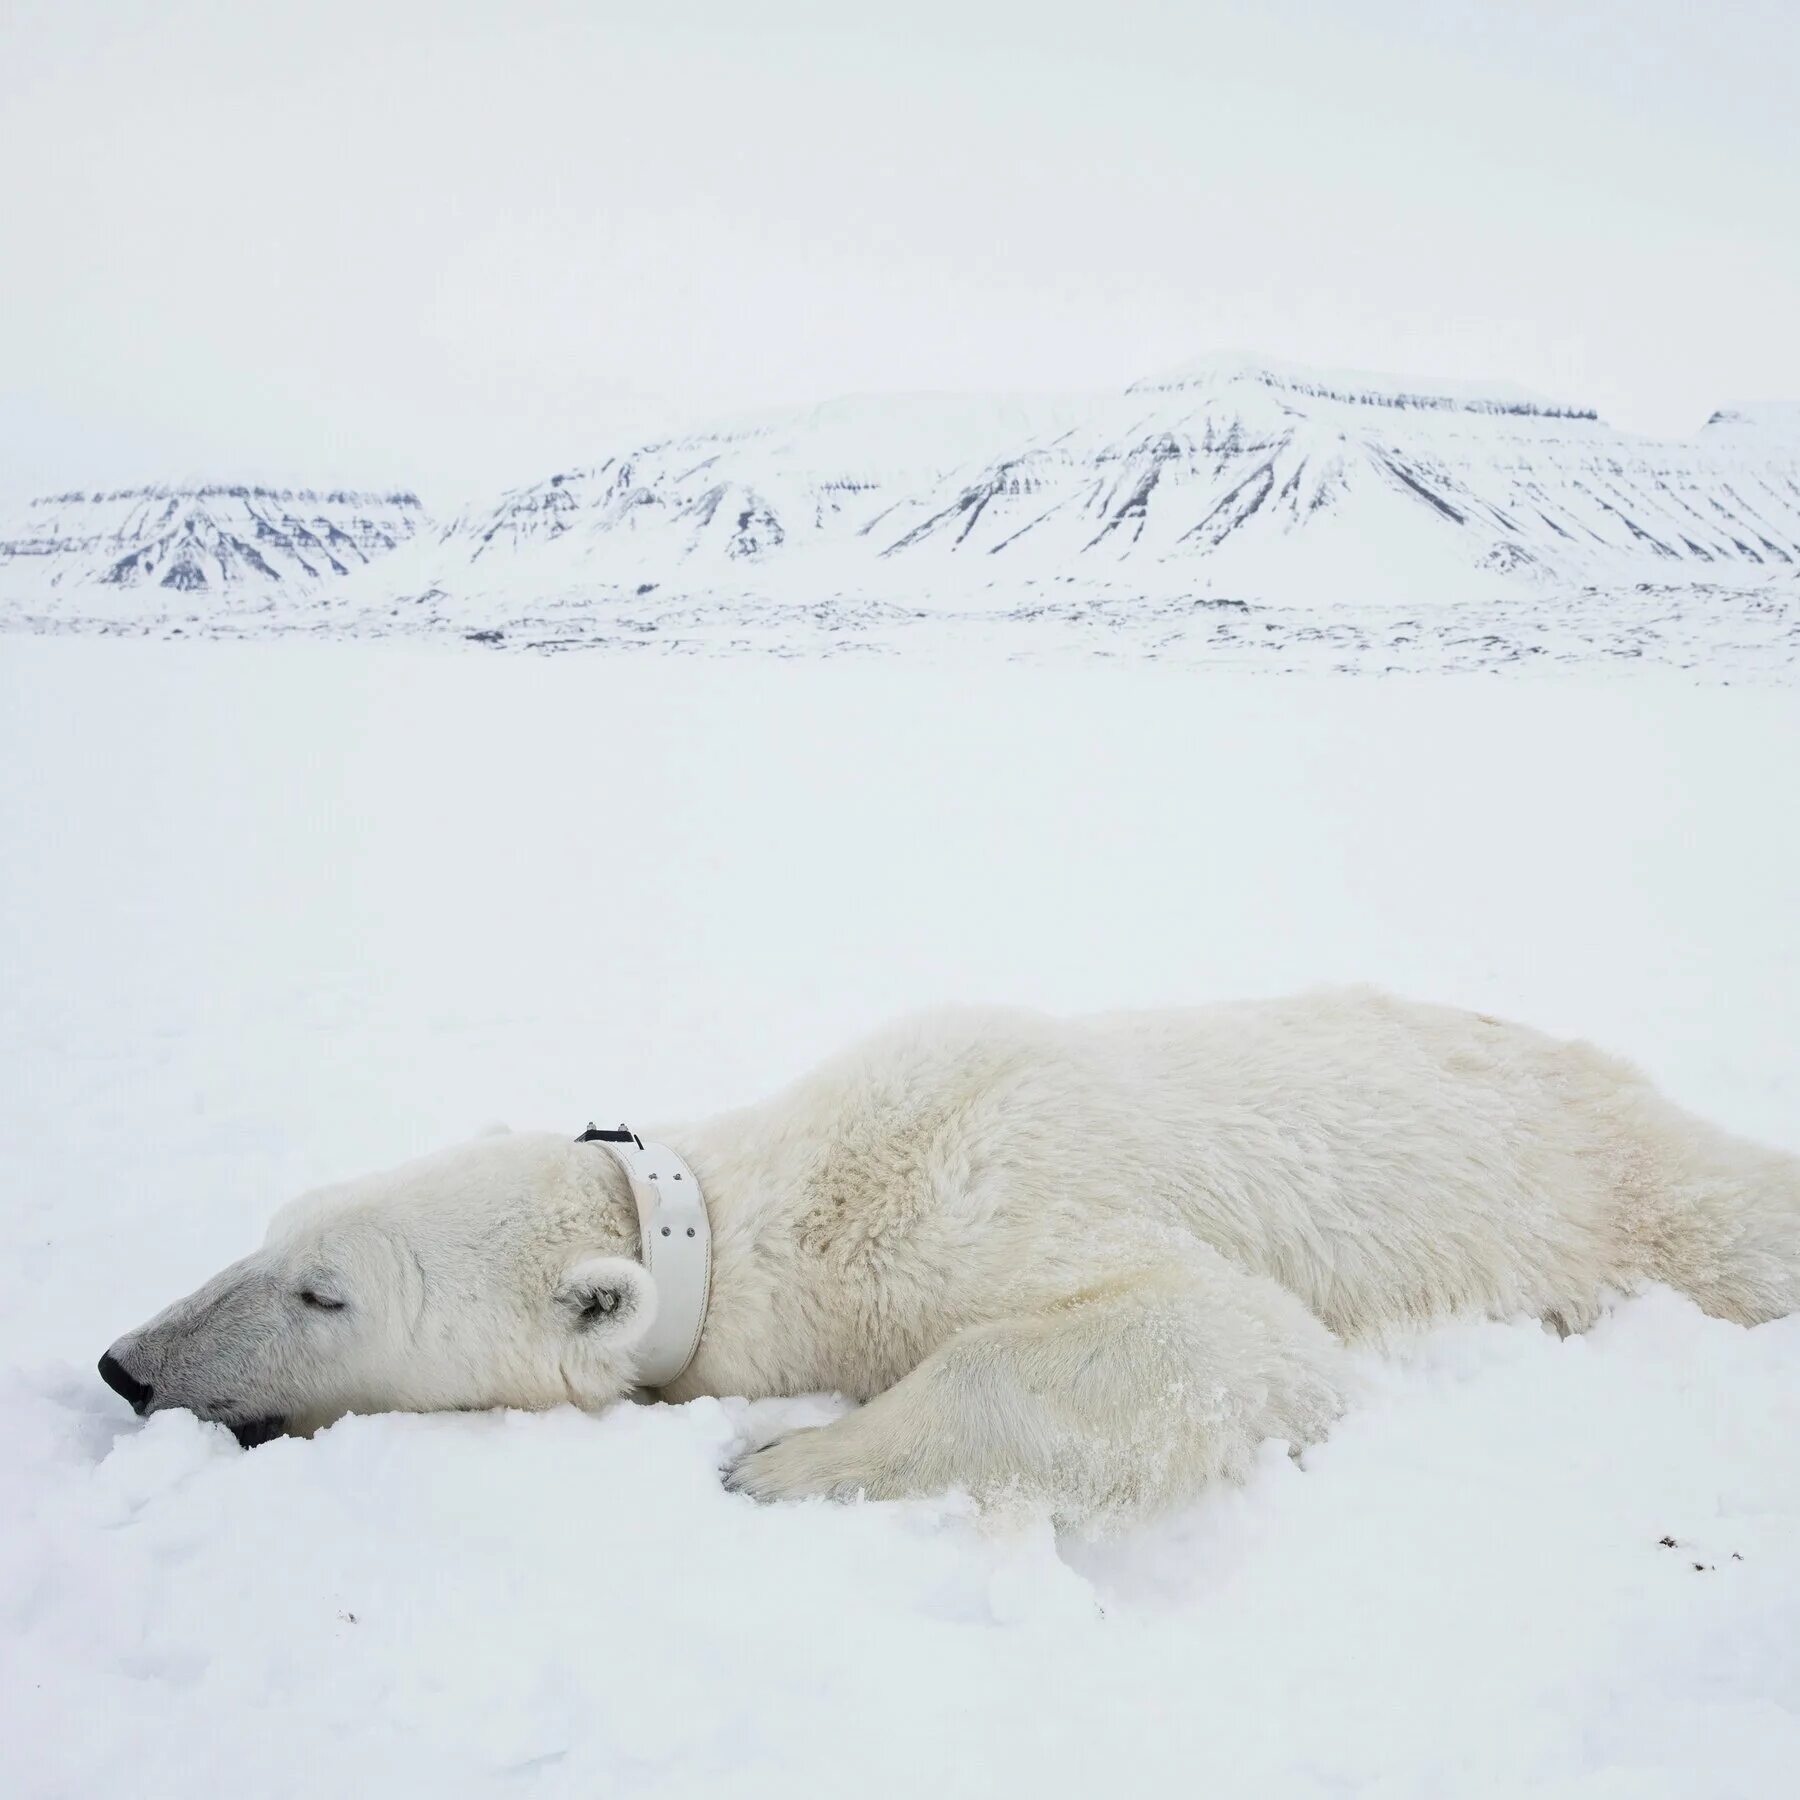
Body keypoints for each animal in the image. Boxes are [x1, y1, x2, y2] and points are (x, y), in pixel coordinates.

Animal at [102, 993, 1800, 1526]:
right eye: (269, 1236)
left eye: (324, 1293)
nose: (124, 1365)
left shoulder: (1008, 1191)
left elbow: (1229, 1340)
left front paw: (775, 1459)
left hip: (1623, 1185)